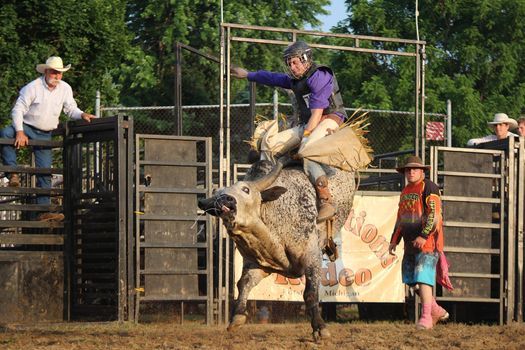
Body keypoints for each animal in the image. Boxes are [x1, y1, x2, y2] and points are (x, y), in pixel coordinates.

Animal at [198, 159, 356, 340]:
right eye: (217, 195)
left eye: (246, 189)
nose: (226, 199)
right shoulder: (255, 263)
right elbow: (243, 283)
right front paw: (237, 317)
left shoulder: (312, 257)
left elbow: (310, 293)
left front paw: (320, 328)